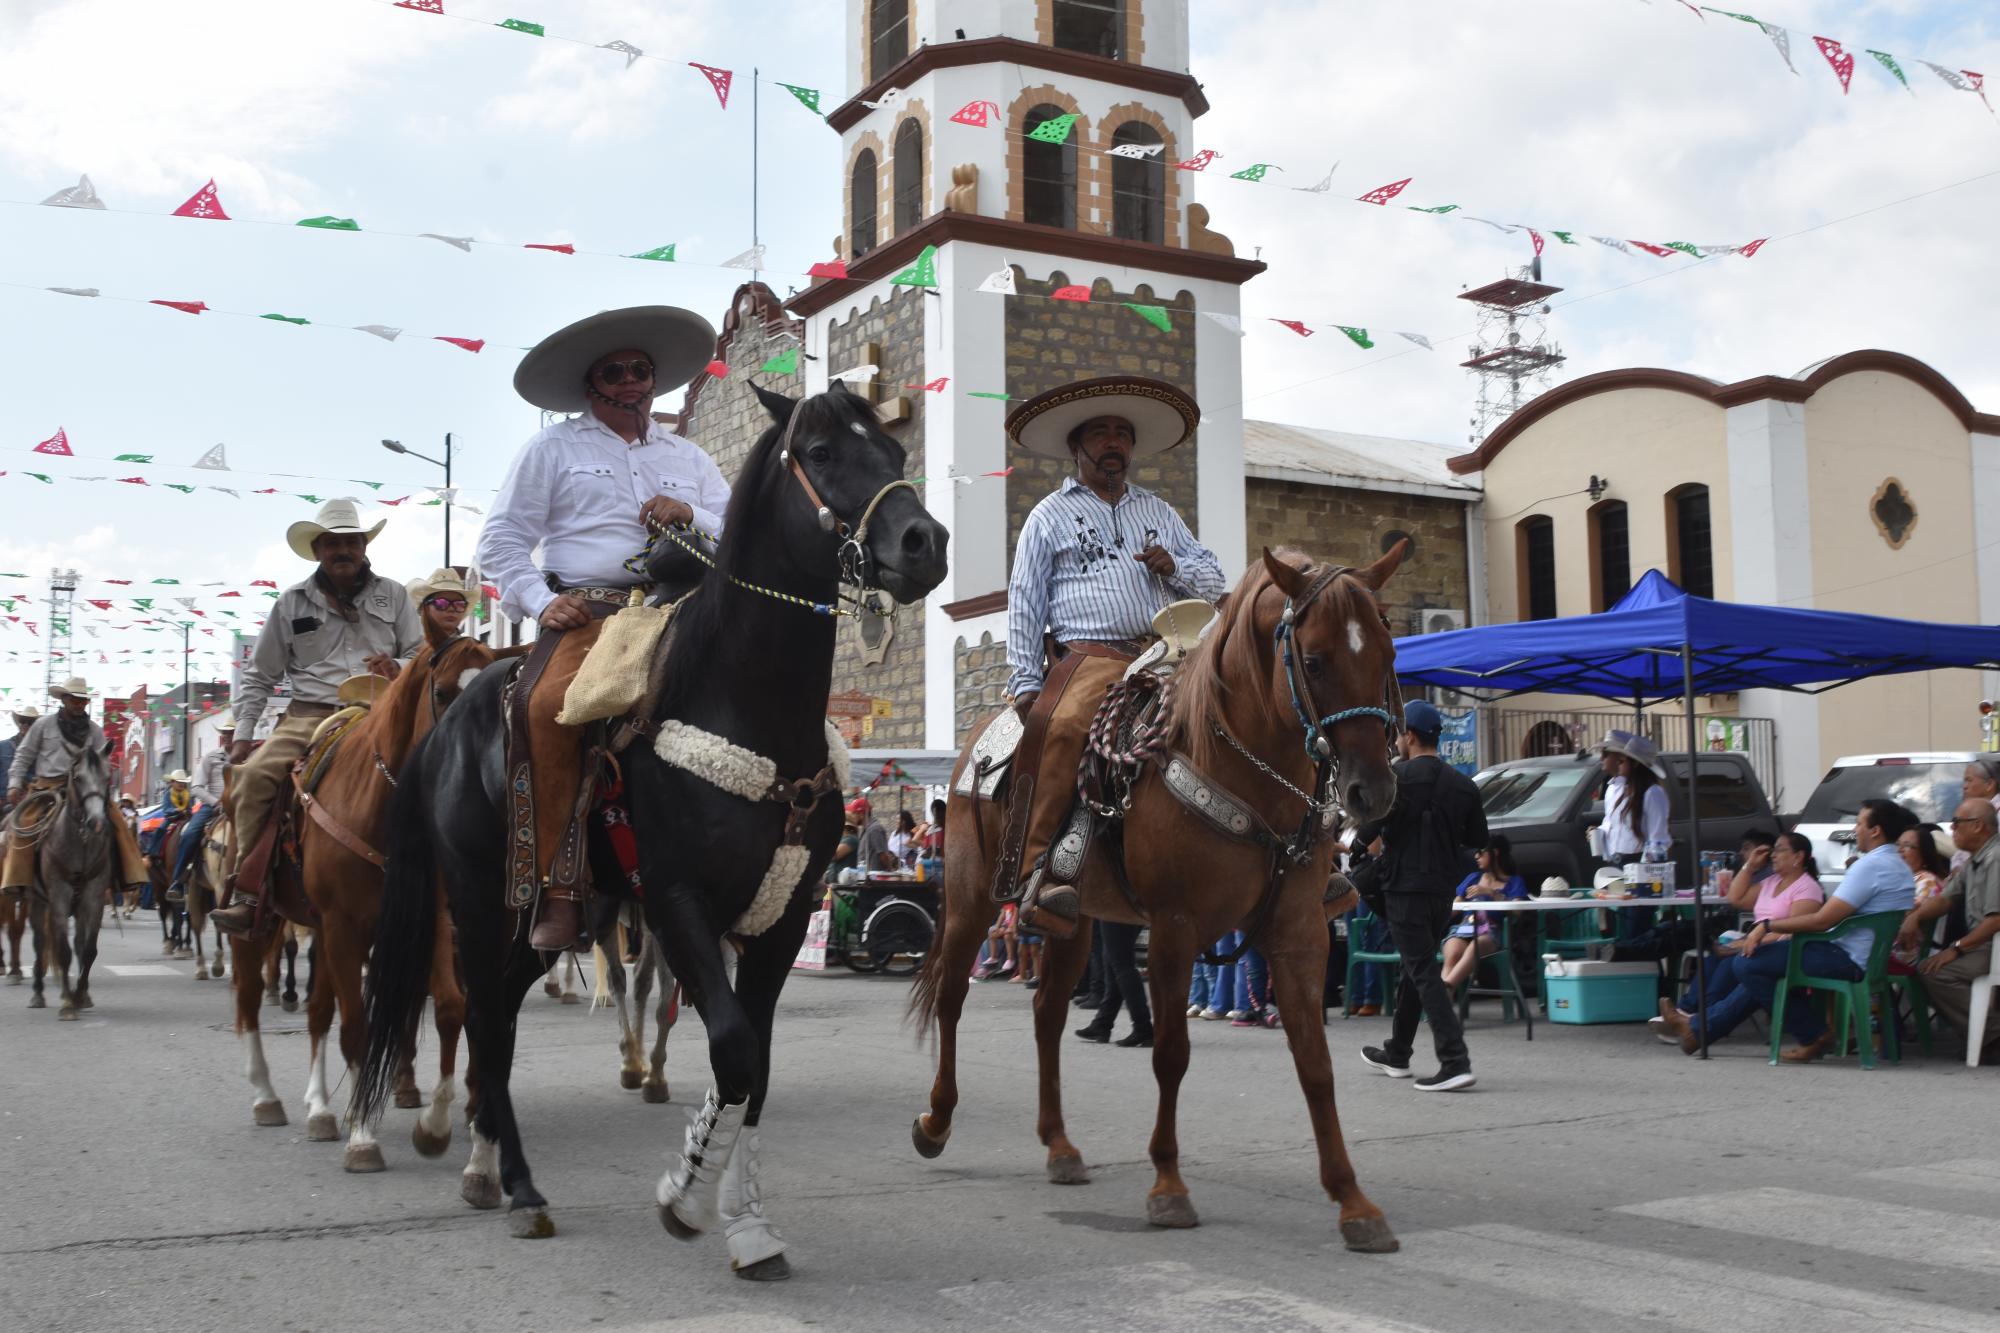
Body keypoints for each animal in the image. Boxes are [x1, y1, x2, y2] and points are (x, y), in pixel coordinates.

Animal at [23, 740, 114, 1012]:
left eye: (107, 777)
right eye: (78, 778)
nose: (97, 822)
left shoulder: (94, 896)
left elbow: (88, 950)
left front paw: (81, 995)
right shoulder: (59, 895)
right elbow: (62, 950)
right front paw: (67, 1004)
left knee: (77, 943)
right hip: (38, 900)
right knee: (41, 942)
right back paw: (38, 993)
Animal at [224, 632, 492, 1160]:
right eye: (444, 692)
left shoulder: (426, 920)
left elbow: (449, 1009)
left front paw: (433, 1125)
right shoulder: (343, 926)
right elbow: (356, 1028)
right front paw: (364, 1137)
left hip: (323, 932)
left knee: (316, 1012)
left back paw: (322, 1110)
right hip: (263, 925)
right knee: (249, 999)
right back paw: (267, 1097)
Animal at [356, 378, 948, 1272]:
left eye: (895, 451)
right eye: (819, 452)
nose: (925, 542)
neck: (743, 703)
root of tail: (450, 719)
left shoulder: (782, 918)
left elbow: (756, 1063)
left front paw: (748, 1223)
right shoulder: (675, 899)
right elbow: (731, 1046)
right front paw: (684, 1195)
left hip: (552, 921)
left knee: (502, 1015)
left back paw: (485, 1161)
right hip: (482, 900)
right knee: (483, 1015)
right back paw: (517, 1182)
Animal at [912, 540, 1408, 1248]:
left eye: (1388, 654)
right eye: (1313, 660)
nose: (1373, 791)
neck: (1237, 764)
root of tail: (975, 746)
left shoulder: (1299, 934)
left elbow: (1315, 1063)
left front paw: (1353, 1201)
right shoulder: (1175, 929)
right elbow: (1171, 1054)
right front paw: (1169, 1186)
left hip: (1078, 922)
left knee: (1047, 1014)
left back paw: (1059, 1145)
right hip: (971, 899)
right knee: (952, 996)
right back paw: (936, 1121)